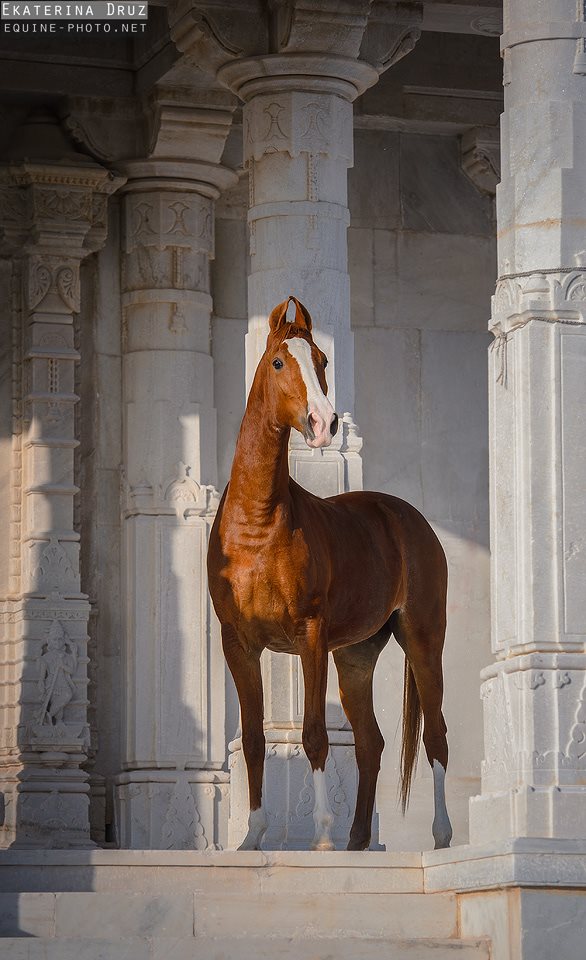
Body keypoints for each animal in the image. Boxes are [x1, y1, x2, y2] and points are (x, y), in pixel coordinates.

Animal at [206, 296, 452, 852]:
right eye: (279, 362)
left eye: (321, 360)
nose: (324, 423)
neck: (257, 524)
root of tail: (409, 518)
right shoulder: (239, 644)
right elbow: (255, 739)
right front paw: (252, 837)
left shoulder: (310, 638)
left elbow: (314, 735)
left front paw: (319, 838)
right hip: (356, 658)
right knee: (371, 744)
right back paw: (357, 842)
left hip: (423, 640)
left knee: (436, 737)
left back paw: (441, 836)